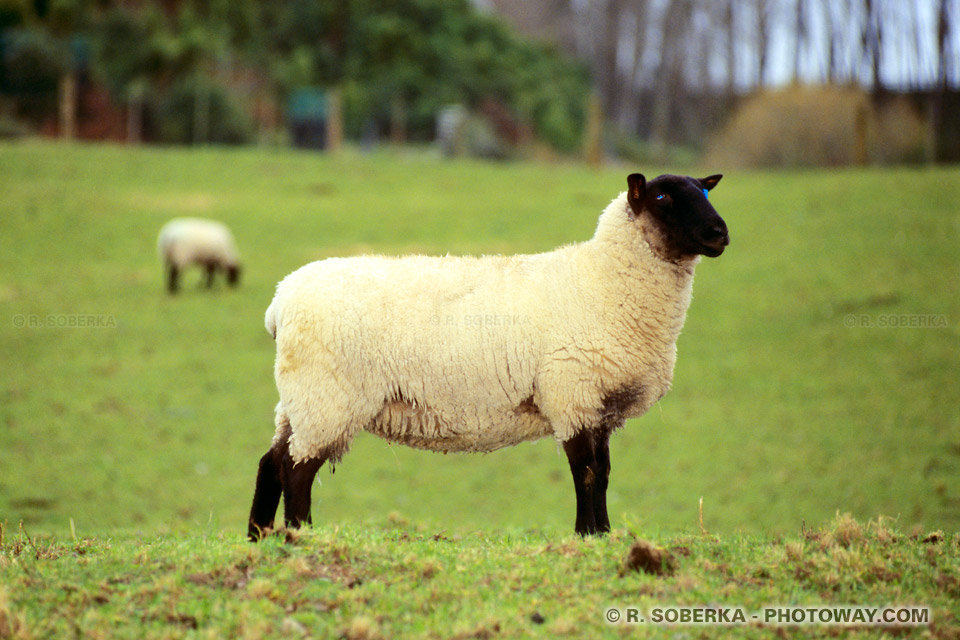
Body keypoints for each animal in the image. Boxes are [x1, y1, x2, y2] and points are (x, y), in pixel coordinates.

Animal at [246, 174, 728, 540]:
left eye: (704, 192)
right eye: (663, 198)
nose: (720, 234)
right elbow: (586, 472)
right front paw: (587, 534)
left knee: (271, 462)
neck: (602, 280)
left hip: (298, 398)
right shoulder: (570, 393)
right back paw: (300, 535)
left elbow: (604, 472)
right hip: (326, 396)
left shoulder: (599, 408)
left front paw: (604, 535)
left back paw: (259, 537)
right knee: (296, 467)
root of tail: (278, 303)